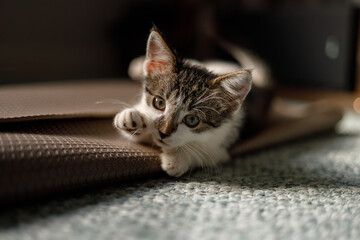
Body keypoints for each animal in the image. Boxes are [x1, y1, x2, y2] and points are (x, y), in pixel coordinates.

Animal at [114, 30, 252, 176]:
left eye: (192, 120)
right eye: (159, 103)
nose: (163, 132)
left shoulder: (224, 143)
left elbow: (206, 154)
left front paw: (178, 158)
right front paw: (131, 118)